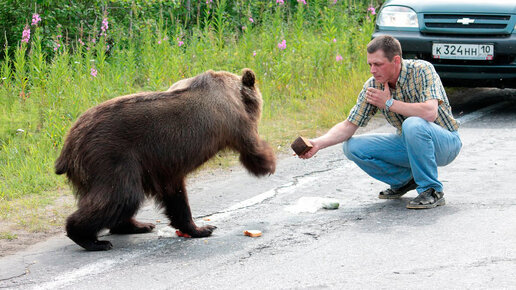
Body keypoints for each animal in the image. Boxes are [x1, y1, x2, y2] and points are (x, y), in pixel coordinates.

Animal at [54, 69, 276, 250]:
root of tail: (69, 145)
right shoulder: (234, 120)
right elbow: (251, 148)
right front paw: (268, 163)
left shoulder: (164, 167)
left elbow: (175, 197)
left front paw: (199, 228)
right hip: (110, 156)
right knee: (122, 195)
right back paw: (91, 239)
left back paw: (139, 225)